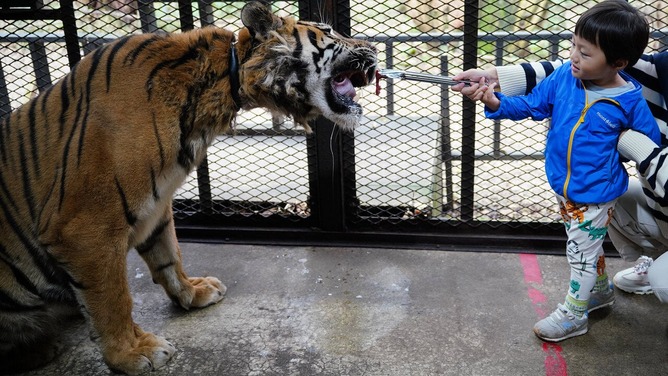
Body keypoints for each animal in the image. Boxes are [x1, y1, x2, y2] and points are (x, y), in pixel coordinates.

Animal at [0, 1, 376, 374]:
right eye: (328, 31)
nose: (371, 46)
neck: (220, 85)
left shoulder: (157, 204)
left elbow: (168, 255)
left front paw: (192, 292)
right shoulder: (85, 229)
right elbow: (112, 298)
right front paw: (131, 352)